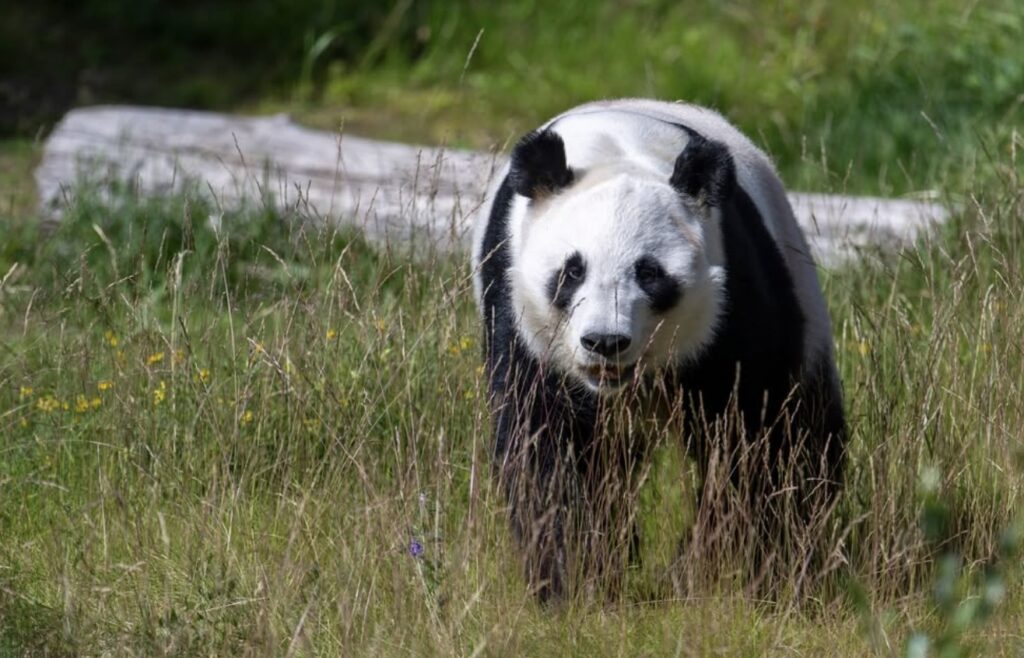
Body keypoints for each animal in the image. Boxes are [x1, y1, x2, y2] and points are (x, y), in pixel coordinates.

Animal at [471, 99, 847, 601]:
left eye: (649, 273)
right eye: (572, 271)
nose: (605, 342)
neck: (615, 150)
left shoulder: (731, 301)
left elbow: (754, 434)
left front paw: (719, 565)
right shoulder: (521, 313)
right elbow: (544, 442)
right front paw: (578, 579)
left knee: (812, 429)